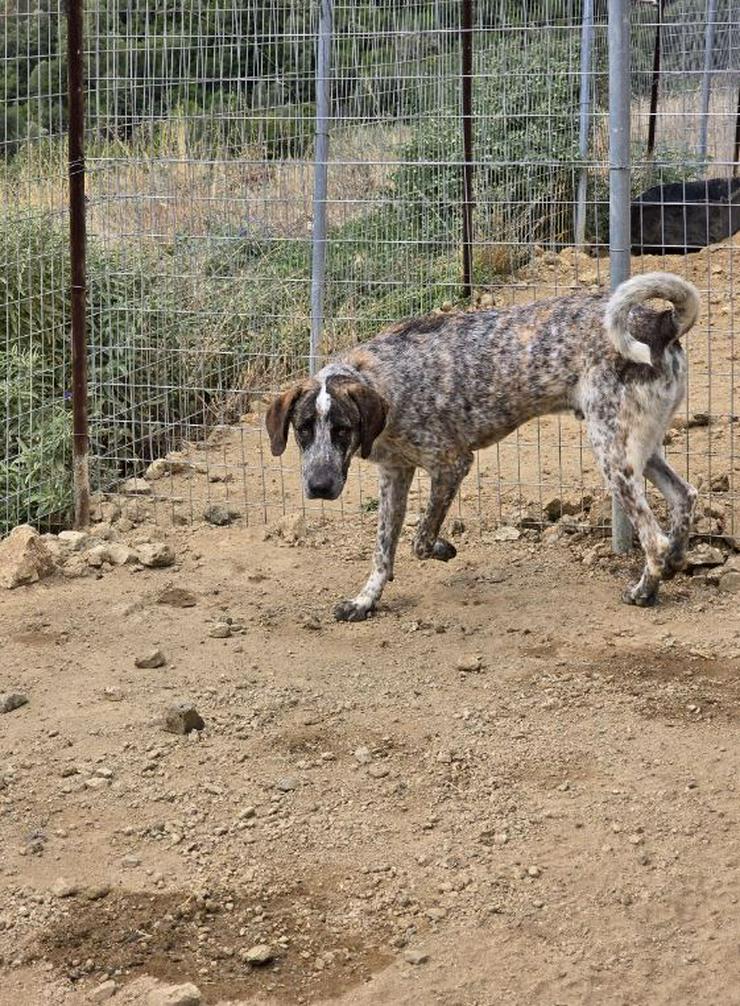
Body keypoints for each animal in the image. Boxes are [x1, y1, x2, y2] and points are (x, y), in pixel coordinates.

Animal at [265, 273, 699, 619]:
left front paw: (442, 548)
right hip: (637, 448)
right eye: (303, 429)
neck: (382, 379)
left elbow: (420, 540)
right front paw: (365, 601)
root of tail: (661, 321)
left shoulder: (452, 464)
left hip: (610, 450)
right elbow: (383, 550)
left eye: (342, 429)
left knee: (654, 538)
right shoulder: (394, 474)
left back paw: (645, 590)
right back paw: (676, 560)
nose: (319, 487)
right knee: (685, 496)